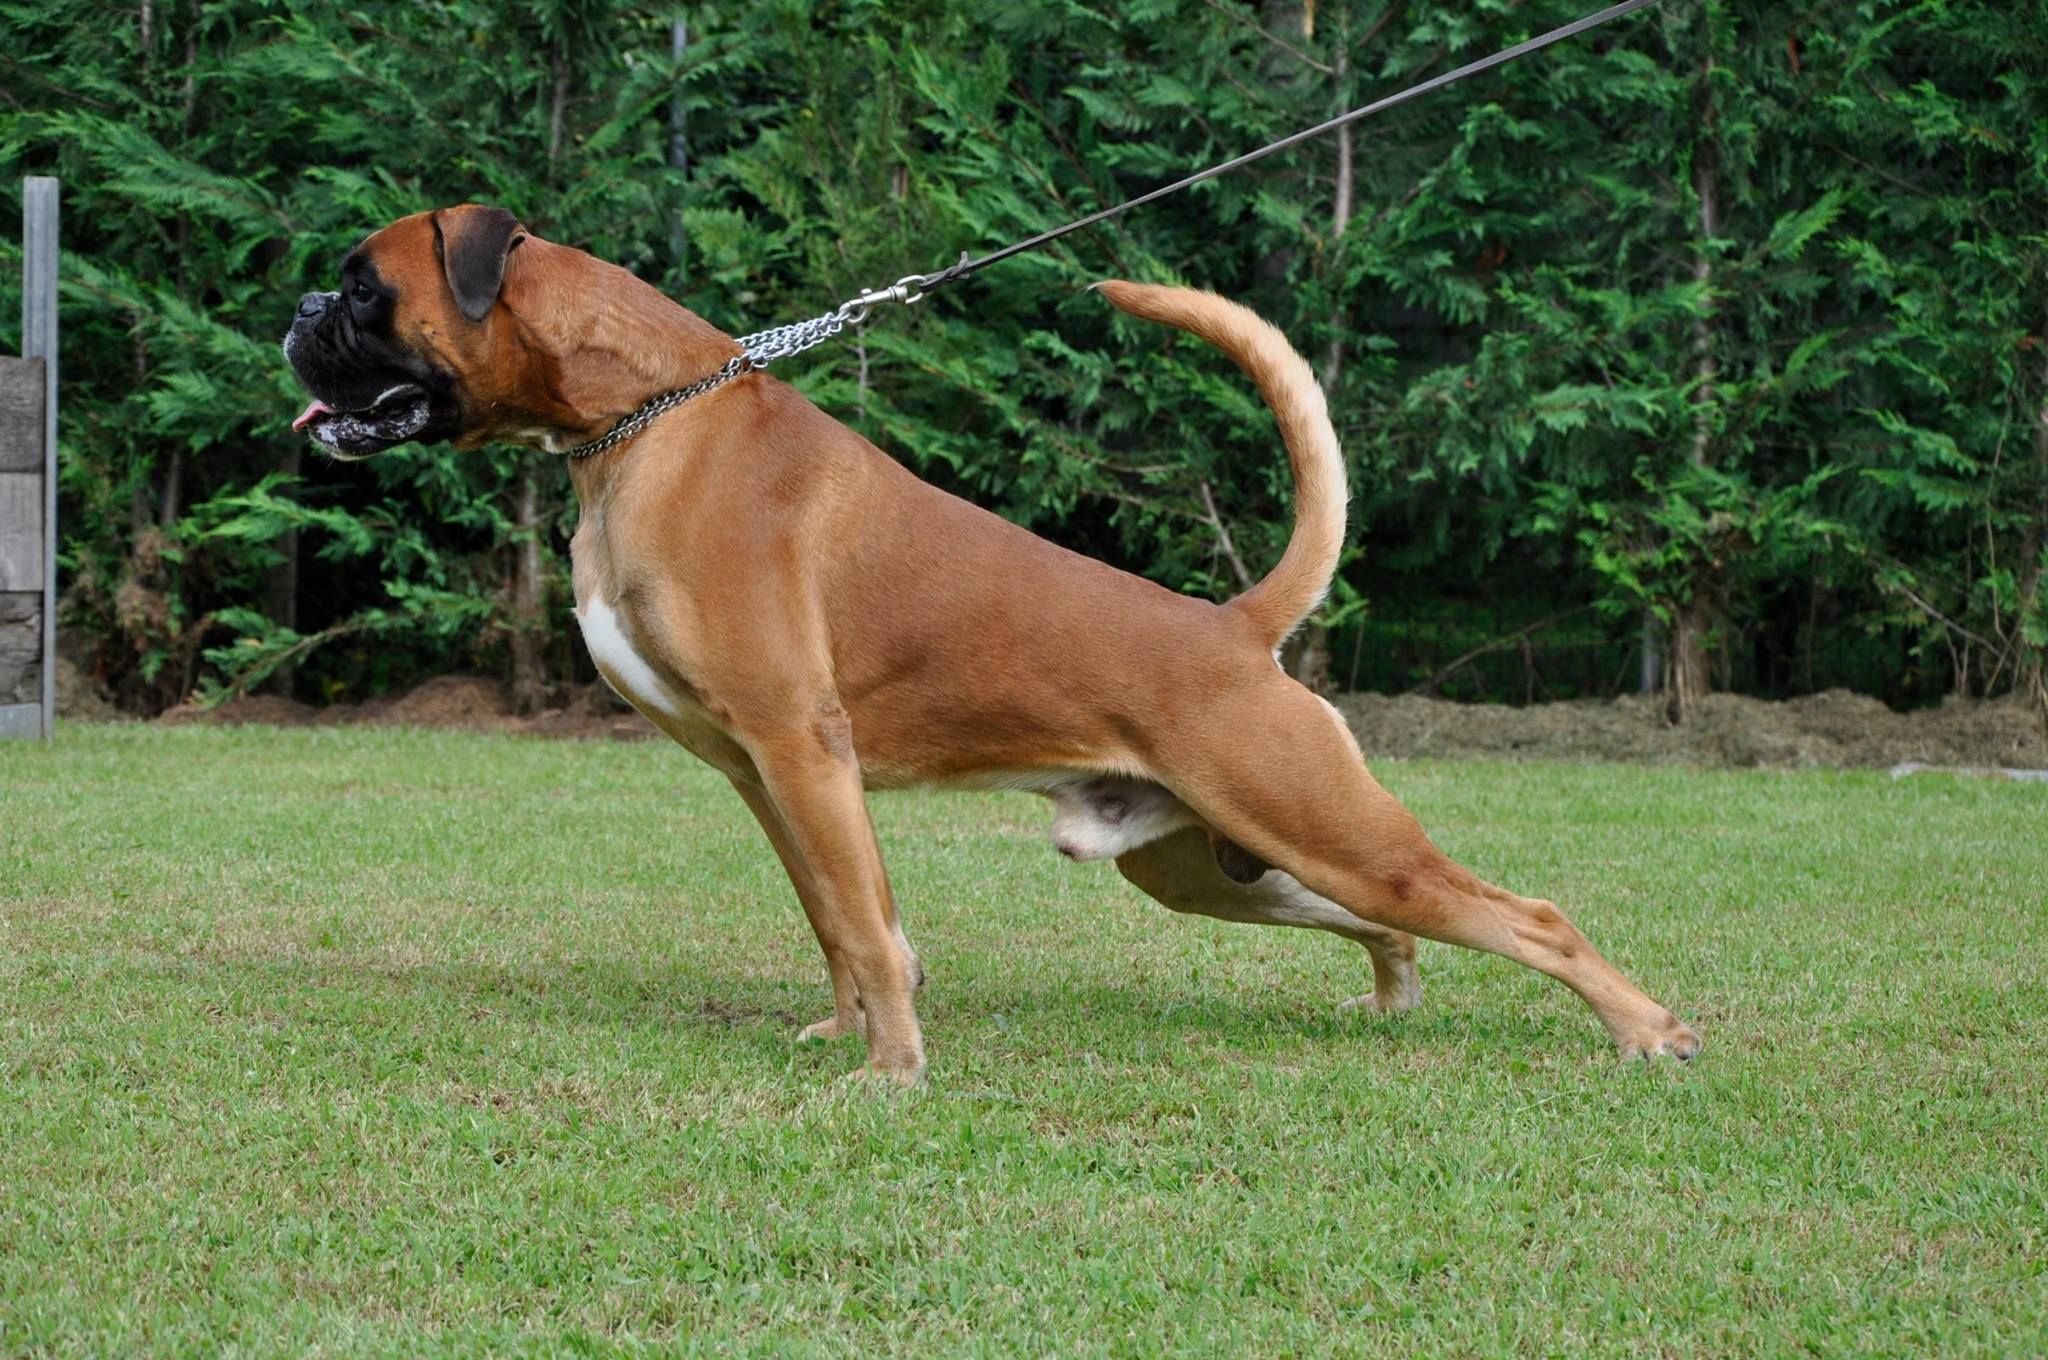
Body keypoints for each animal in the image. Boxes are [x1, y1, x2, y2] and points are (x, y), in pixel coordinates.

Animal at [284, 201, 1695, 1081]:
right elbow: (842, 920)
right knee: (1393, 923)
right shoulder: (764, 777)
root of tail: (1232, 627)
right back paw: (1398, 995)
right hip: (1216, 865)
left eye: (362, 290)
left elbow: (862, 924)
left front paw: (891, 1074)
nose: (297, 308)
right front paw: (850, 1039)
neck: (647, 415)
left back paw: (1647, 1033)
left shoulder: (802, 751)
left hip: (1326, 828)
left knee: (1528, 915)